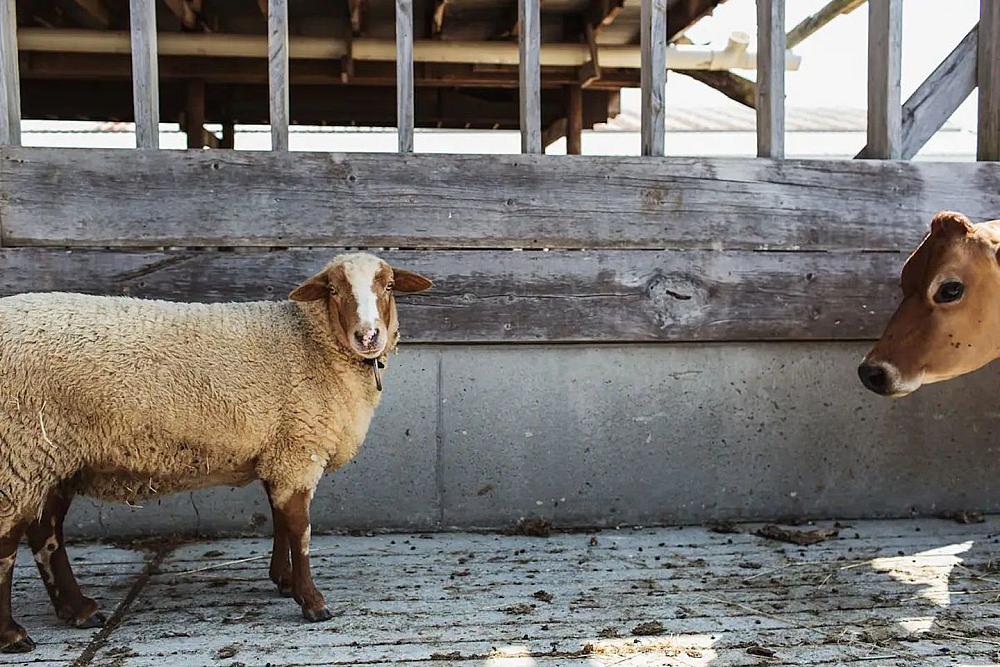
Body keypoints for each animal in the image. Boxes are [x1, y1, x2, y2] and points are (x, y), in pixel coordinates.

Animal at [0, 252, 432, 652]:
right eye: (333, 289)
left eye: (388, 286)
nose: (369, 336)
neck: (311, 342)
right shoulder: (298, 449)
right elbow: (300, 529)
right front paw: (312, 602)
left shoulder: (279, 449)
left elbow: (280, 519)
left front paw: (283, 580)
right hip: (18, 453)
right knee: (9, 540)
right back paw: (13, 634)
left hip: (53, 459)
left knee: (46, 534)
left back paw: (77, 610)